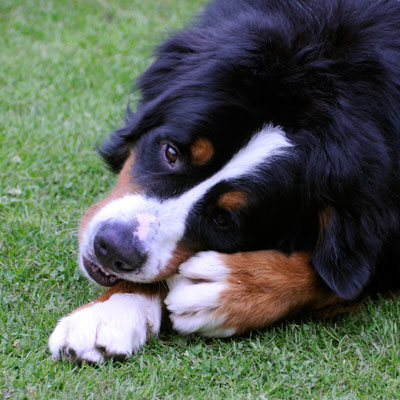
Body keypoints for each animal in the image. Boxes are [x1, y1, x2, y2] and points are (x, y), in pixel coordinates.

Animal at [49, 0, 400, 362]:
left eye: (223, 220)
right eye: (171, 152)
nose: (113, 248)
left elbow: (341, 274)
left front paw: (233, 289)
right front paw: (110, 311)